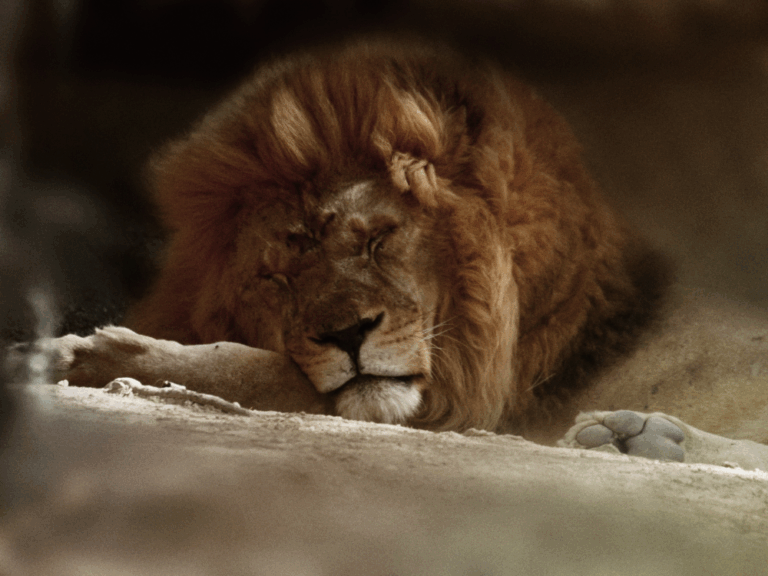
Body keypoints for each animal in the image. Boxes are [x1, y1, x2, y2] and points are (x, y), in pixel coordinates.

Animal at [51, 39, 768, 464]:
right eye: (276, 278)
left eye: (378, 238)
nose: (347, 335)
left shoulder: (461, 401)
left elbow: (257, 371)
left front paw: (88, 354)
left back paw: (640, 436)